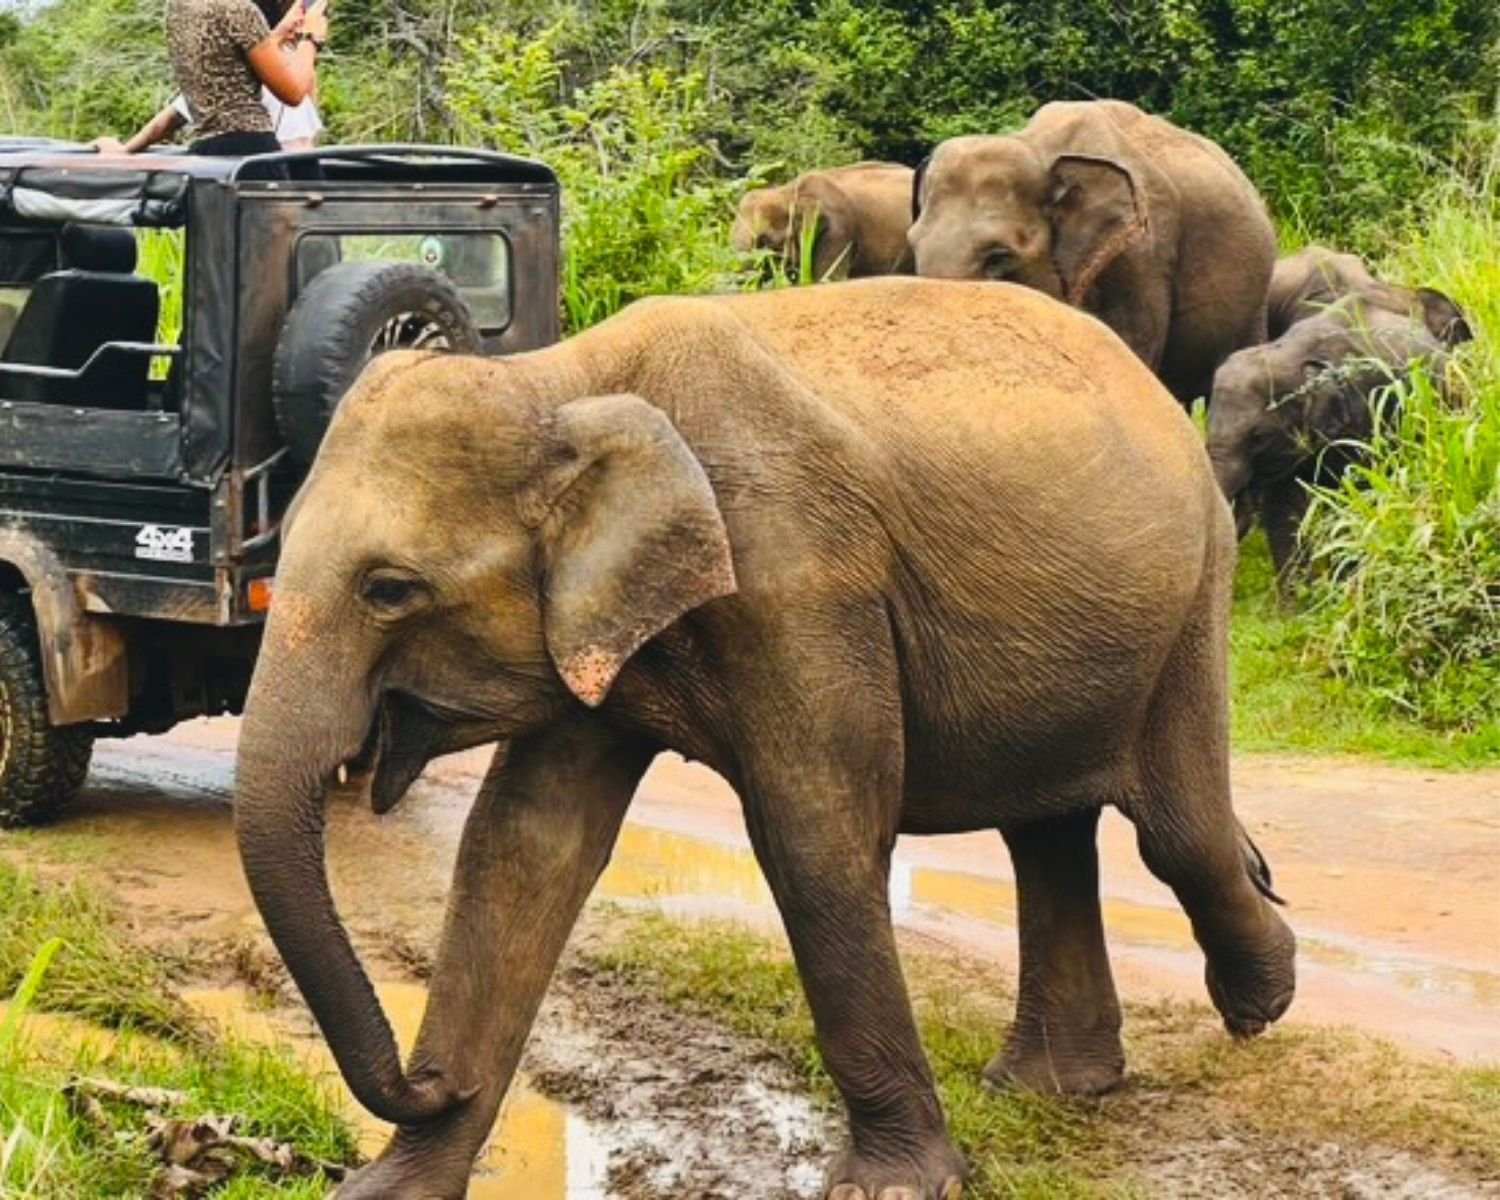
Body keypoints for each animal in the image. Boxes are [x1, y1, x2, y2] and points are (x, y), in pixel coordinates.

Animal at [236, 277, 1295, 1200]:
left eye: (390, 590)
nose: (432, 1079)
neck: (560, 382)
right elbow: (520, 849)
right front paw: (386, 1191)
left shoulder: (800, 576)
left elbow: (815, 839)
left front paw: (889, 1190)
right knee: (1051, 835)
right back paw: (1055, 1085)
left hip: (1195, 592)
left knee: (1177, 833)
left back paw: (1261, 998)